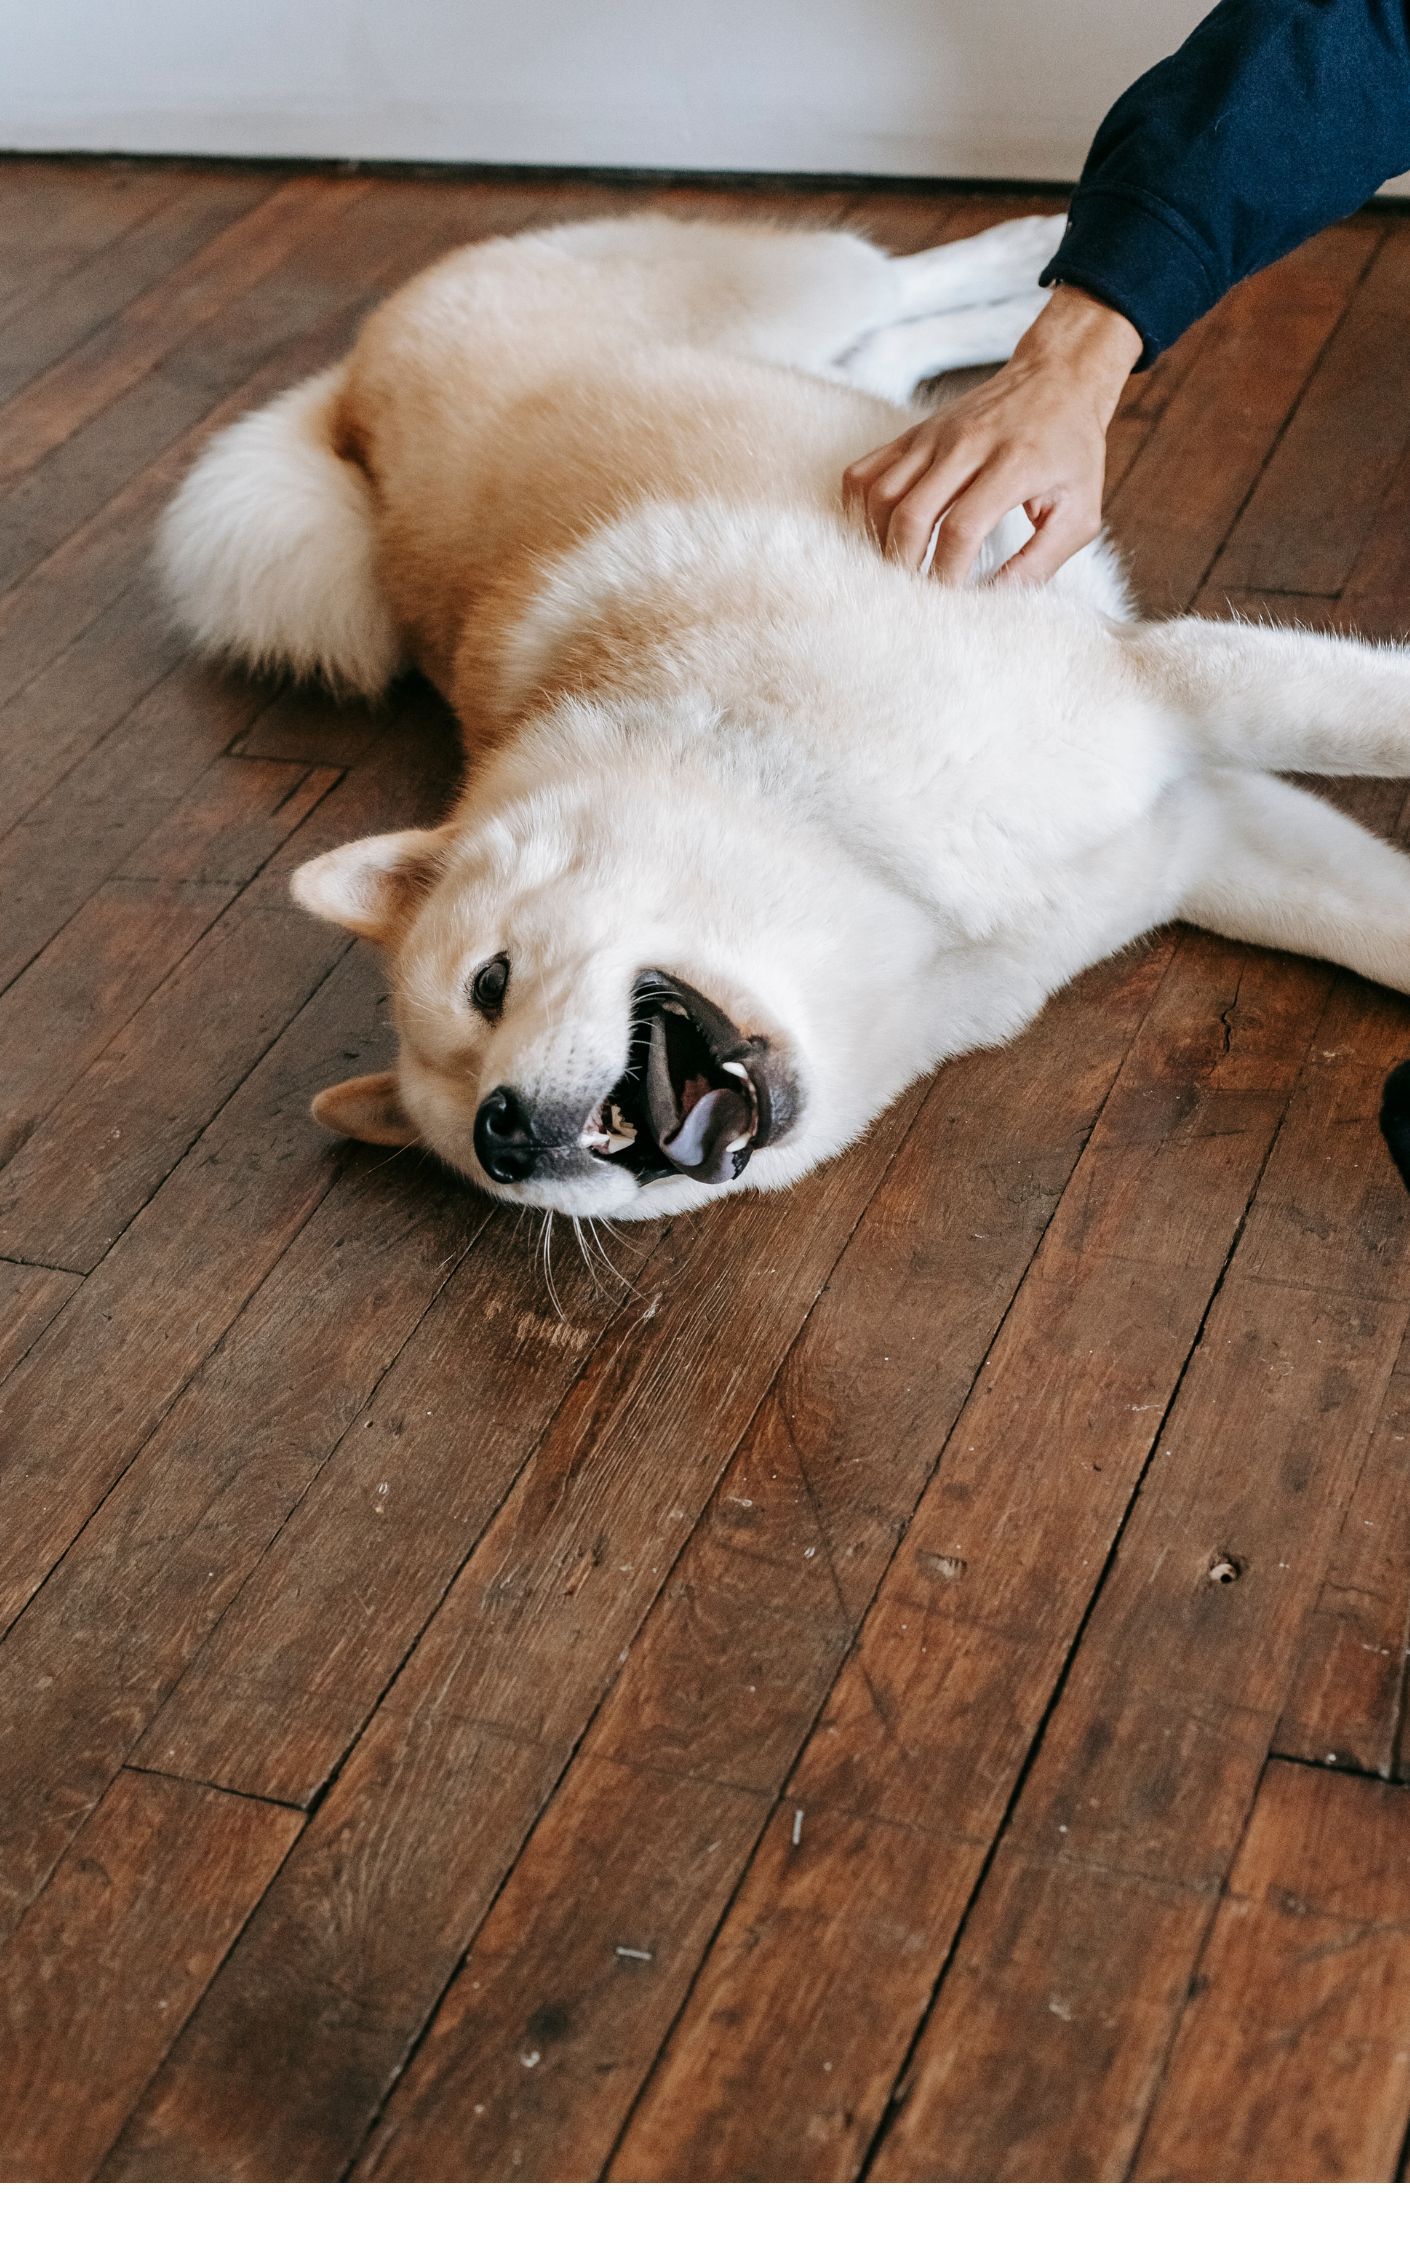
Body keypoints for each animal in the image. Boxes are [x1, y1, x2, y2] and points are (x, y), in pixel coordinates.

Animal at [159, 212, 1410, 1224]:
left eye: (490, 985)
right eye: (479, 1164)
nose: (501, 1128)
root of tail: (353, 392)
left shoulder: (1172, 696)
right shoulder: (1200, 827)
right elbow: (1375, 920)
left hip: (802, 290)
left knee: (895, 284)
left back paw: (1029, 261)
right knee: (889, 354)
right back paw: (1018, 320)